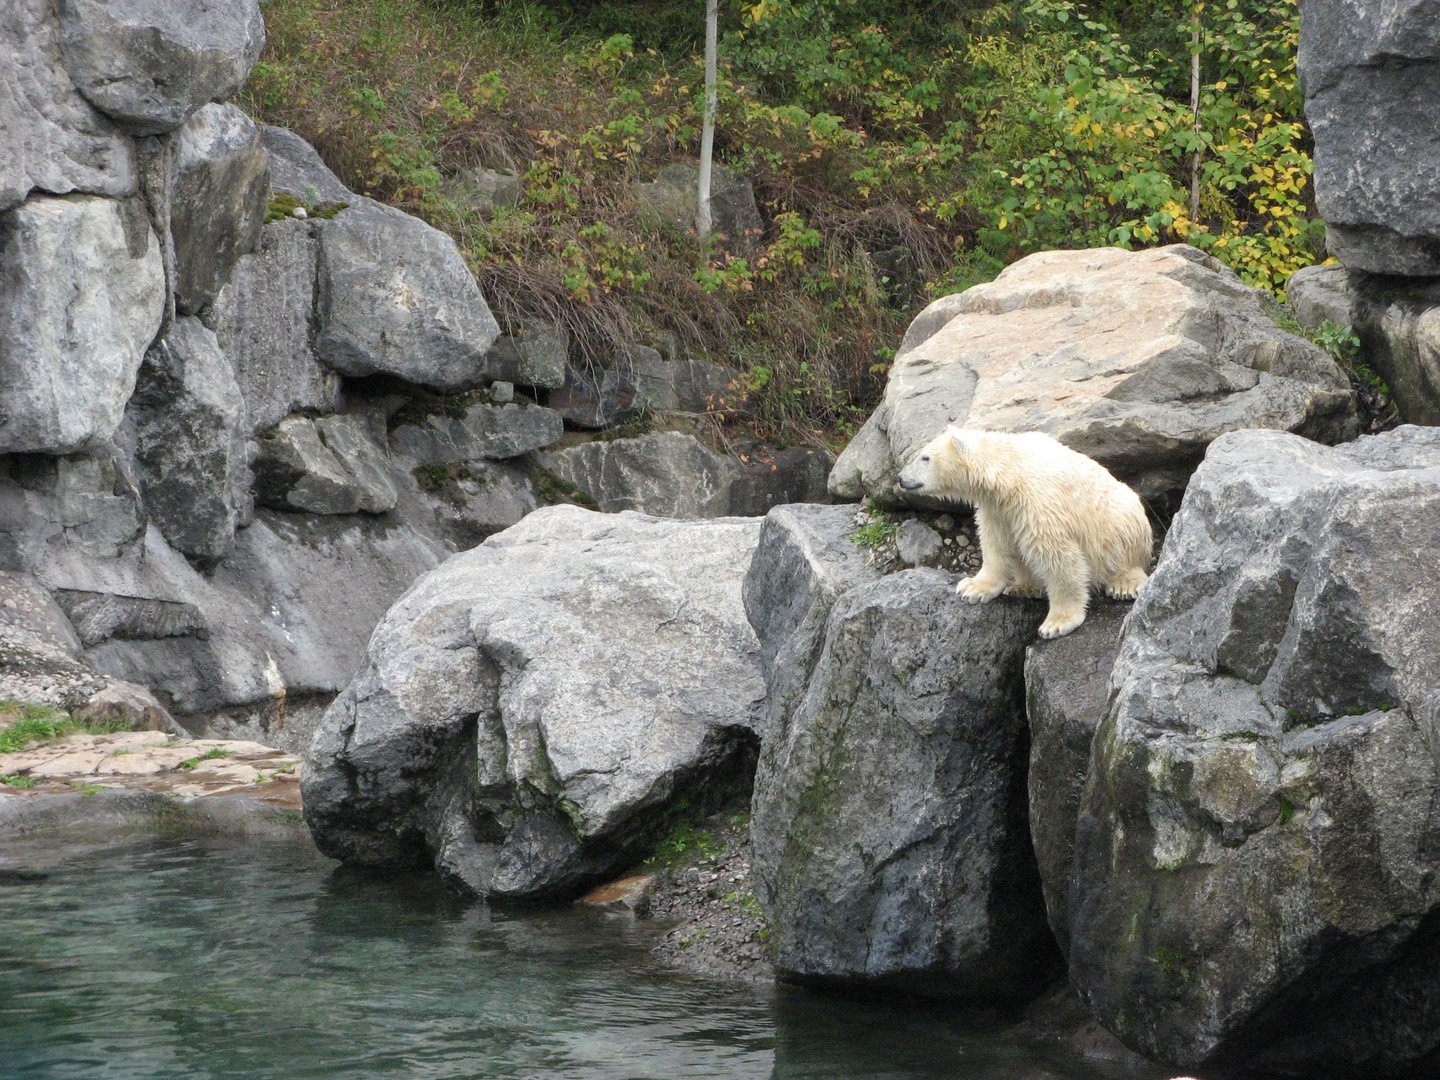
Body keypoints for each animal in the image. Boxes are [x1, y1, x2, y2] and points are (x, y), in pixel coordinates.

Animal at [898, 426, 1146, 639]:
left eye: (925, 457)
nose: (900, 478)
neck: (1009, 473)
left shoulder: (1039, 502)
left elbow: (1057, 555)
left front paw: (1057, 623)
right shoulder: (997, 509)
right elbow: (995, 543)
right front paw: (972, 587)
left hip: (1120, 522)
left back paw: (1124, 585)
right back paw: (1024, 587)